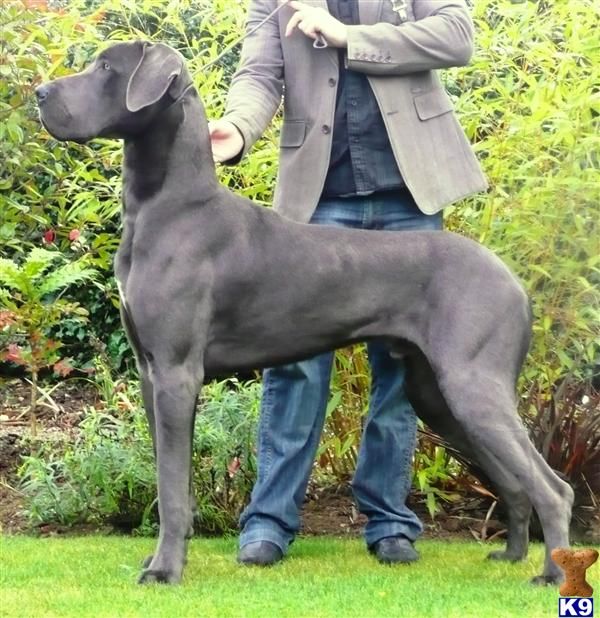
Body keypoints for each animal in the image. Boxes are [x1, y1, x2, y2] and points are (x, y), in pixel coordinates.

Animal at [35, 39, 576, 584]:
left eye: (107, 68)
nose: (39, 92)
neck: (165, 208)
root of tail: (514, 281)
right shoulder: (151, 374)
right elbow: (173, 481)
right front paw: (160, 561)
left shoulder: (176, 373)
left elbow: (171, 488)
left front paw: (165, 571)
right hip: (437, 394)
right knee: (513, 480)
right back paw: (511, 555)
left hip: (472, 385)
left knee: (555, 488)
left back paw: (553, 574)